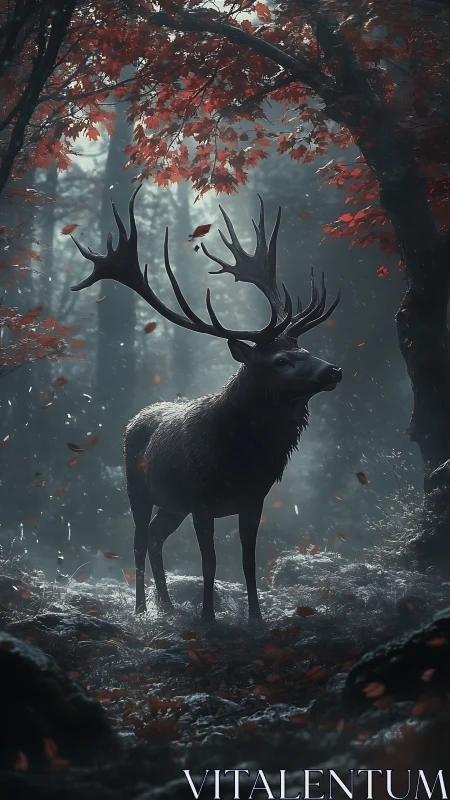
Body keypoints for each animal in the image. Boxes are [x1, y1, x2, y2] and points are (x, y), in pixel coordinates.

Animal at [71, 186, 342, 622]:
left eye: (304, 349)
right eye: (281, 361)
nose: (333, 370)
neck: (240, 458)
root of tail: (136, 418)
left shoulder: (253, 500)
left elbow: (248, 562)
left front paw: (255, 620)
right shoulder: (201, 501)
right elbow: (209, 563)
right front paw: (209, 619)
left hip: (172, 505)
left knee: (156, 538)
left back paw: (167, 605)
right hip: (138, 490)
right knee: (138, 540)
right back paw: (142, 608)